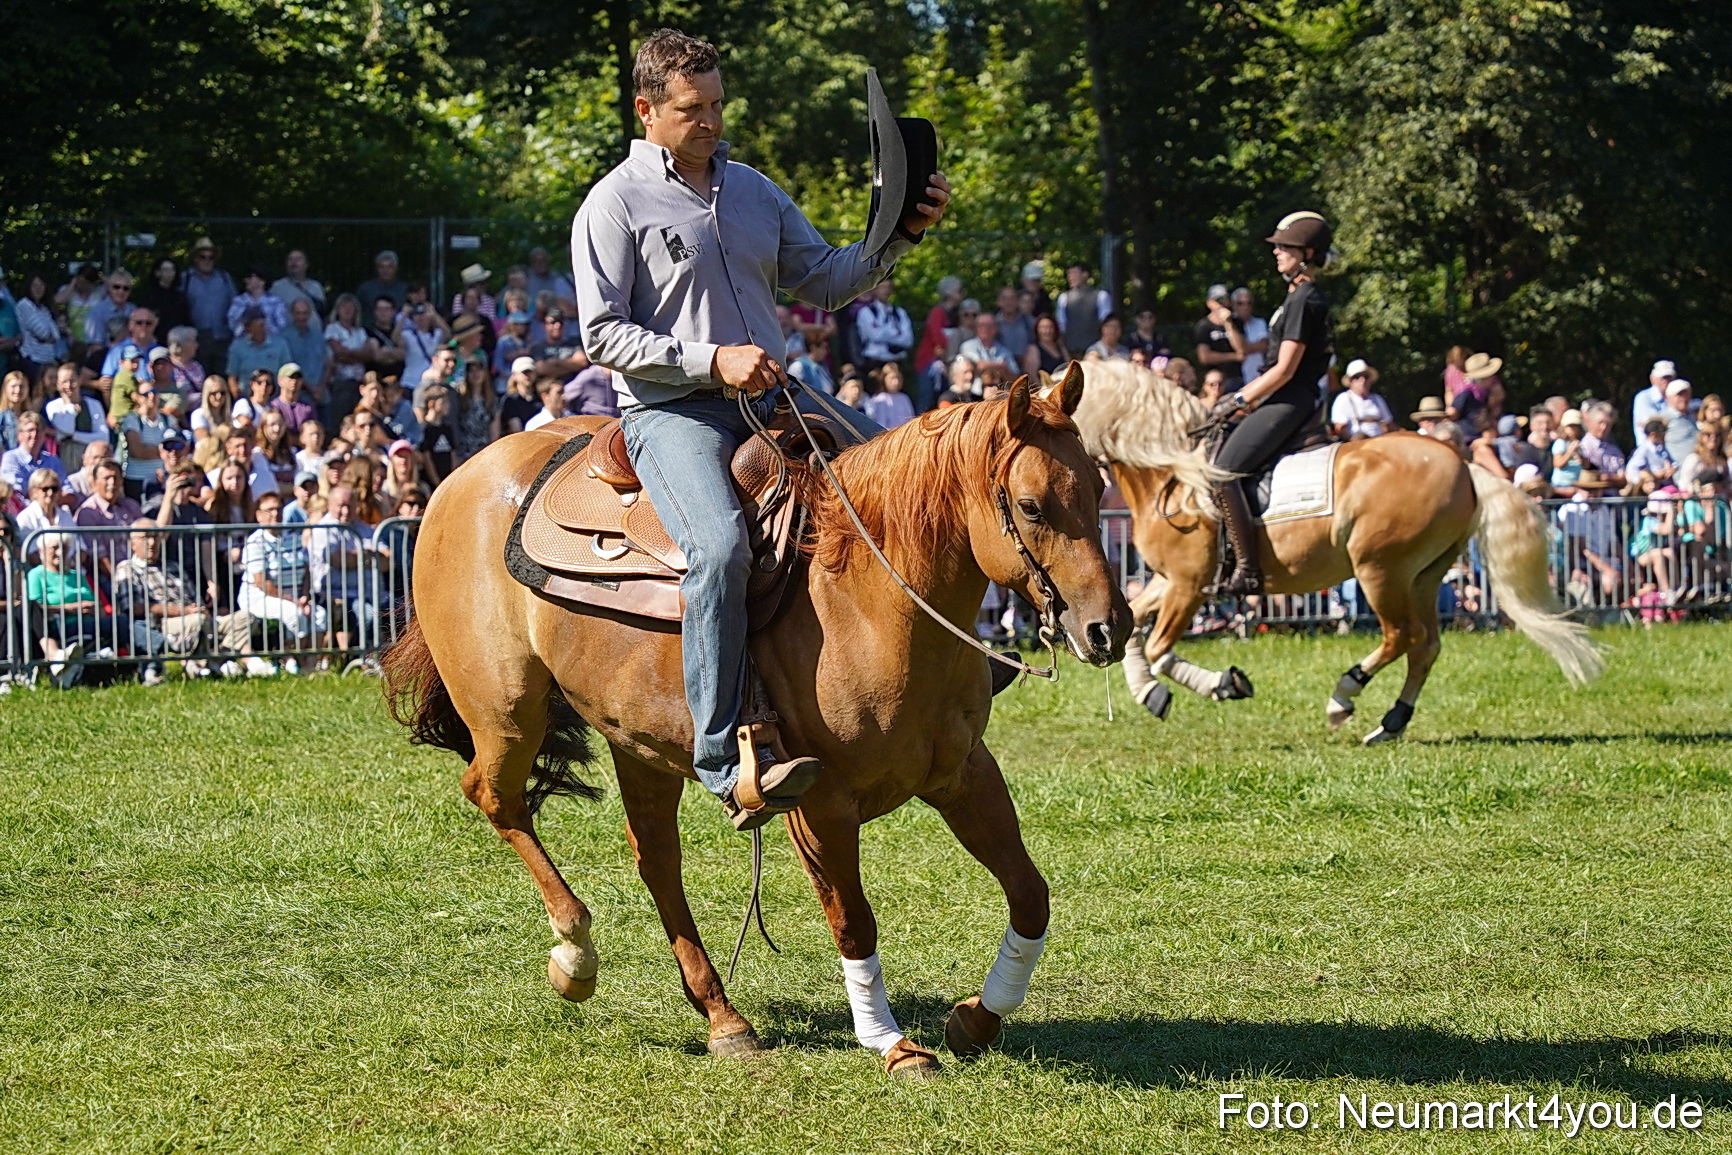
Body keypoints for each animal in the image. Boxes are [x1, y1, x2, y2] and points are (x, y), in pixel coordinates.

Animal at [382, 368, 1131, 1077]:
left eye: (1100, 486)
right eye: (1030, 505)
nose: (1108, 627)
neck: (868, 598)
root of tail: (460, 479)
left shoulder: (963, 773)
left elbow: (1030, 894)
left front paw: (977, 1017)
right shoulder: (820, 806)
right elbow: (854, 923)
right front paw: (892, 1044)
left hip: (636, 742)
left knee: (655, 858)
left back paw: (722, 1017)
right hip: (507, 712)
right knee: (495, 797)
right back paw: (575, 952)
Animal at [1063, 360, 1601, 743]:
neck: (1171, 470)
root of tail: (1462, 463)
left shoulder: (1189, 584)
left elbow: (1156, 646)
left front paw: (1206, 686)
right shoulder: (1164, 580)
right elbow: (1134, 630)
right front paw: (1155, 692)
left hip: (1380, 569)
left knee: (1402, 636)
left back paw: (1344, 697)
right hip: (1424, 574)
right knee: (1425, 644)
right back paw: (1391, 722)